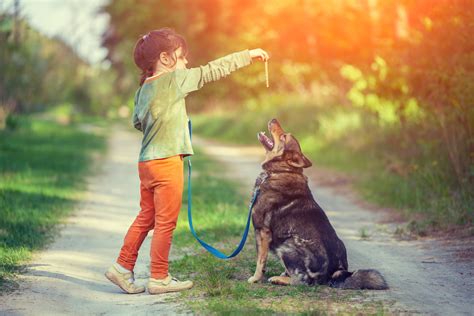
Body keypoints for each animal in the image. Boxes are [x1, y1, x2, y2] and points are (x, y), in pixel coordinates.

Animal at [246, 118, 386, 288]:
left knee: (302, 281)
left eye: (284, 136)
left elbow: (260, 260)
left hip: (286, 246)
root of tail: (333, 273)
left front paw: (255, 278)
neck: (281, 171)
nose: (274, 119)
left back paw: (280, 279)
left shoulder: (262, 231)